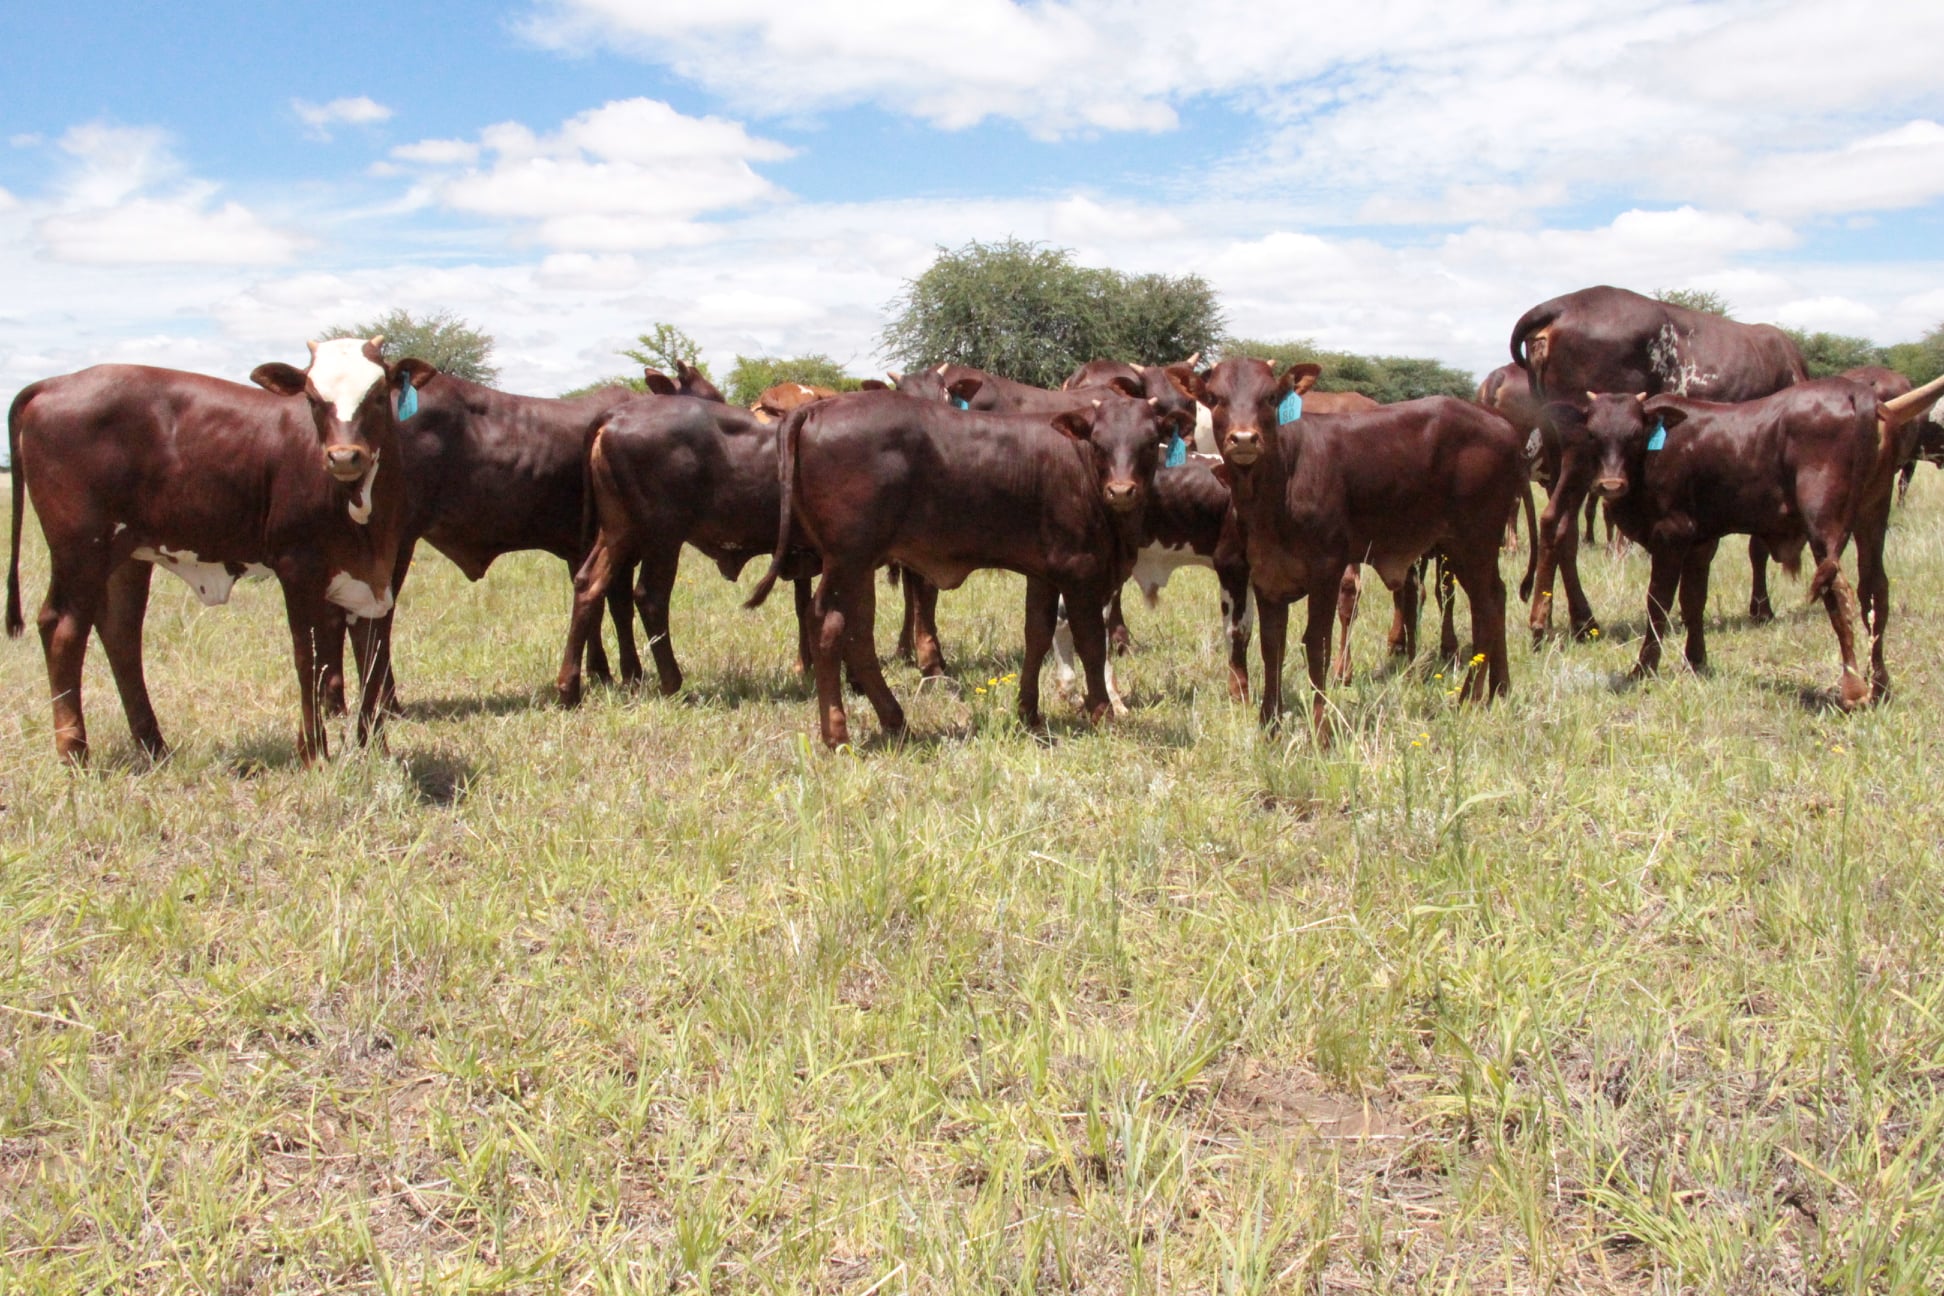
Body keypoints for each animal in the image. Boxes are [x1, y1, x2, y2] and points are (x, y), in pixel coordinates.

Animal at [6, 339, 414, 765]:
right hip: (80, 553)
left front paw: (377, 750)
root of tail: (53, 383)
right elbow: (311, 658)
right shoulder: (298, 568)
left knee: (120, 632)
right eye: (313, 399)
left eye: (378, 395)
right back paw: (74, 752)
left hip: (125, 557)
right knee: (63, 629)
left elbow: (371, 657)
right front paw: (314, 754)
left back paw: (153, 746)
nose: (344, 456)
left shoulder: (375, 576)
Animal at [744, 389, 1180, 748]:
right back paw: (838, 735)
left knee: (859, 635)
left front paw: (1029, 713)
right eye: (1100, 443)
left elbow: (1037, 635)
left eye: (1148, 443)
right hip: (846, 559)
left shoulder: (1043, 572)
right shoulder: (1080, 574)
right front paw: (1102, 714)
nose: (1121, 491)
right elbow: (1091, 644)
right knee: (828, 627)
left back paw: (895, 721)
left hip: (859, 565)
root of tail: (818, 407)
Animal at [1168, 358, 1527, 731]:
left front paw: (1320, 728)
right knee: (1496, 597)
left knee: (1485, 606)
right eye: (1214, 397)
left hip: (1474, 542)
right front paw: (1270, 725)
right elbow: (1271, 646)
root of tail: (1501, 424)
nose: (1243, 438)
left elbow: (1317, 645)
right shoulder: (1266, 575)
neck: (1279, 485)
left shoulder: (1327, 570)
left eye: (1270, 397)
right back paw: (1499, 688)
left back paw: (1469, 696)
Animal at [1510, 285, 1806, 643]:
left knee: (1567, 532)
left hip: (1557, 452)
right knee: (1555, 521)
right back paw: (1548, 621)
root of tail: (1558, 307)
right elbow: (1757, 545)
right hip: (1581, 454)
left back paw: (1575, 619)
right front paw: (1761, 609)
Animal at [1546, 374, 1944, 707]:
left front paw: (1643, 670)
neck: (1655, 453)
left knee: (1838, 593)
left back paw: (1853, 690)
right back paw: (1880, 686)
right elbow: (1693, 601)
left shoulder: (1670, 536)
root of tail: (1854, 392)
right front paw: (1696, 662)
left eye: (1634, 434)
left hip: (1824, 524)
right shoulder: (1701, 542)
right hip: (1872, 516)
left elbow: (1658, 603)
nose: (1610, 484)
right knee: (1874, 591)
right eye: (1593, 434)